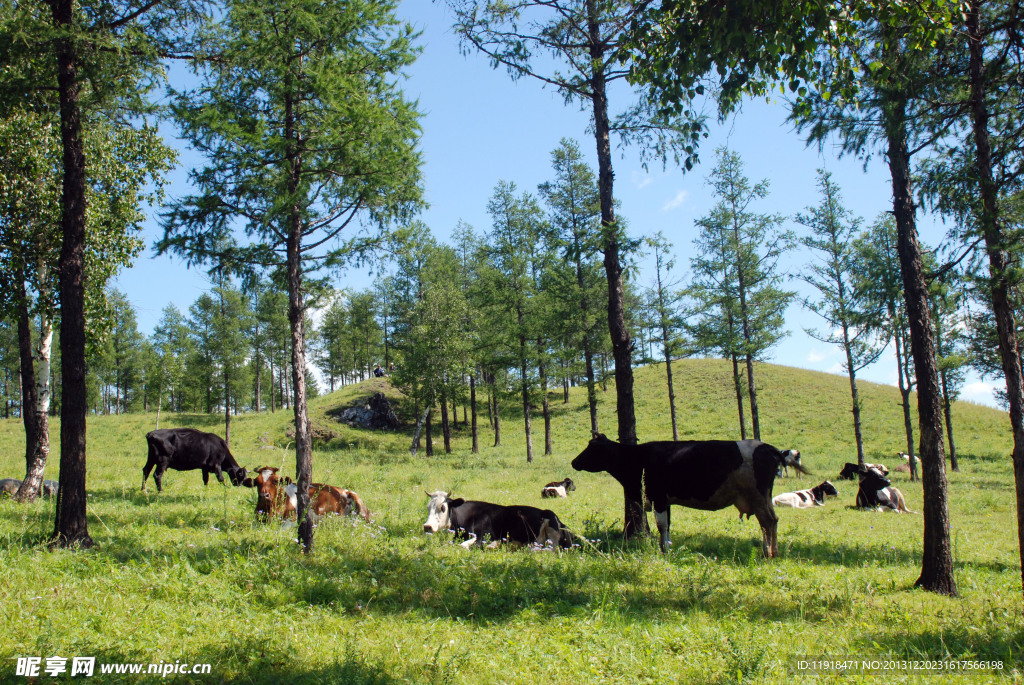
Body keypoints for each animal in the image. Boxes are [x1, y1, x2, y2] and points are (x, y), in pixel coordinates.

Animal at [573, 432, 802, 557]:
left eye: (591, 448)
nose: (574, 462)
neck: (637, 460)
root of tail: (767, 447)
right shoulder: (666, 500)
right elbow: (667, 525)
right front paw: (667, 547)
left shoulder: (658, 497)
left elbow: (661, 525)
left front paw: (664, 550)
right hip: (763, 497)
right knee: (770, 521)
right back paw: (771, 551)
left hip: (757, 495)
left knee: (767, 522)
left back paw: (769, 553)